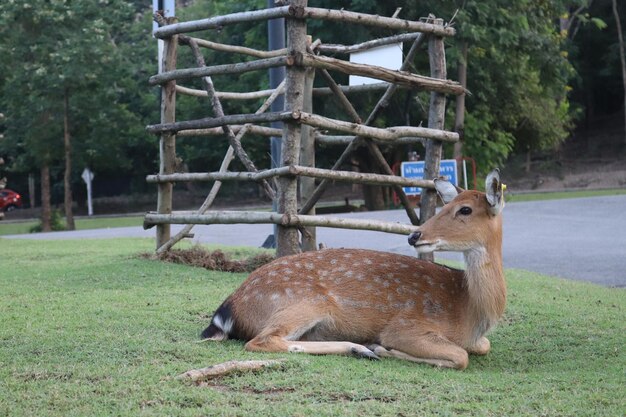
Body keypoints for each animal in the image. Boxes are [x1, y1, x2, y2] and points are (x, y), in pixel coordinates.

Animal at [202, 167, 504, 368]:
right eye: (445, 207)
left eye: (465, 209)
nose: (414, 236)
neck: (469, 312)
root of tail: (226, 310)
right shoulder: (405, 326)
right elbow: (460, 356)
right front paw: (382, 348)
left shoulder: (478, 340)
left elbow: (484, 347)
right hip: (304, 301)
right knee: (262, 341)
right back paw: (361, 348)